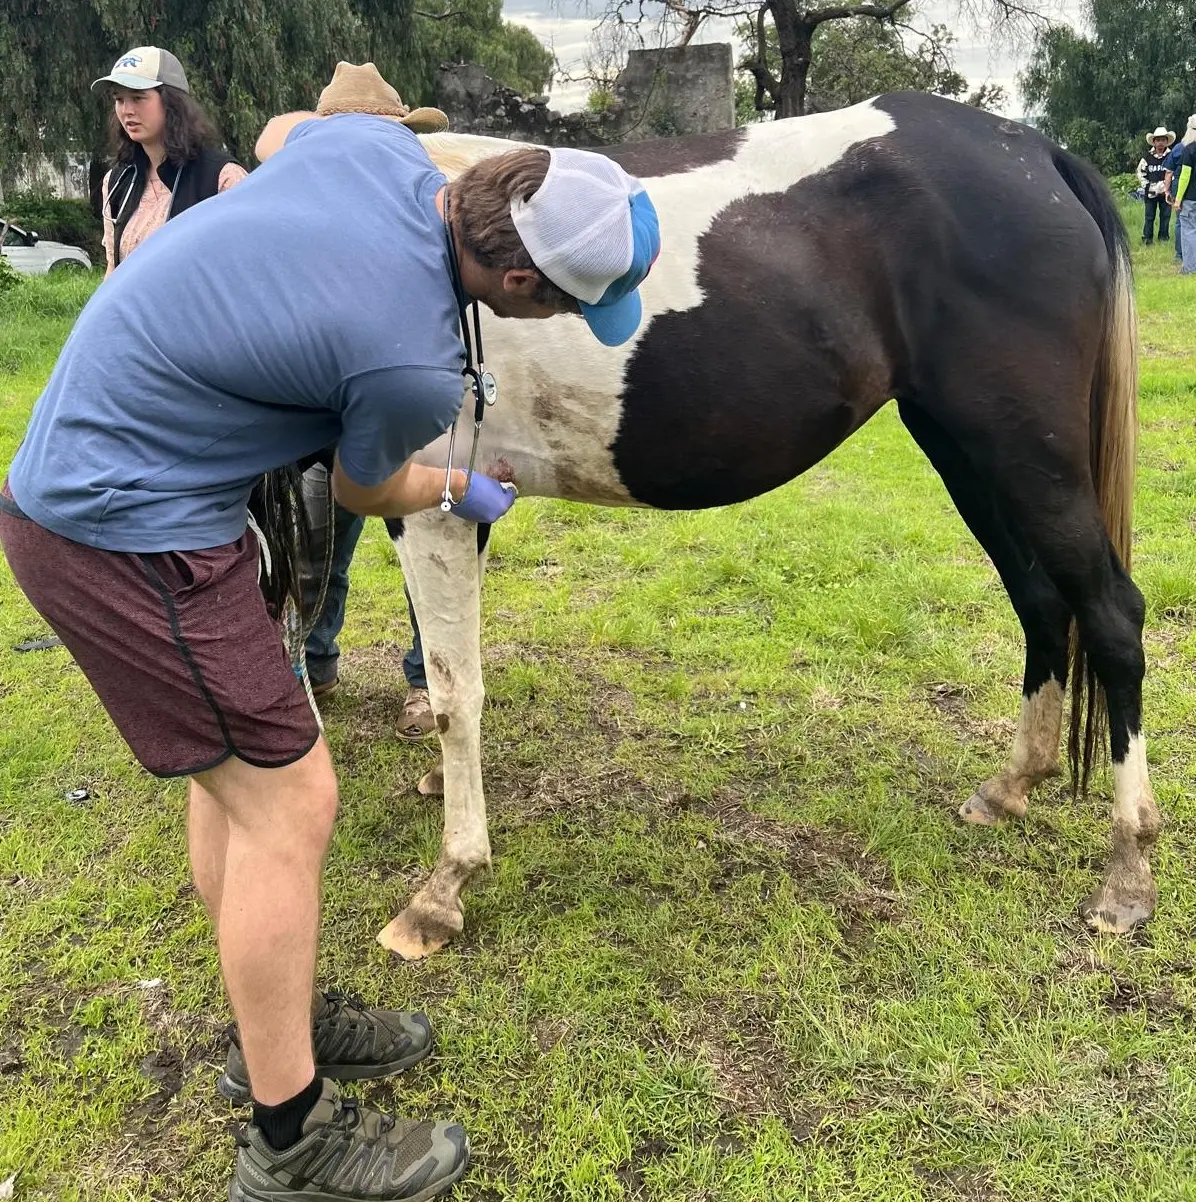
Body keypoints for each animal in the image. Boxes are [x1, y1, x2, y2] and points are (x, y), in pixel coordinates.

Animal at [305, 92, 1153, 958]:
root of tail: (1037, 155)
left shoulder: (430, 510)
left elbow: (455, 692)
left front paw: (444, 887)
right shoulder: (459, 503)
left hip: (1029, 458)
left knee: (1112, 617)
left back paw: (1127, 875)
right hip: (968, 452)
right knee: (1043, 606)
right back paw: (1012, 787)